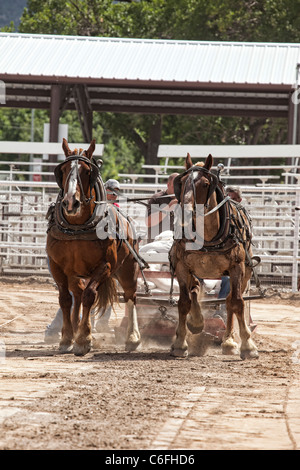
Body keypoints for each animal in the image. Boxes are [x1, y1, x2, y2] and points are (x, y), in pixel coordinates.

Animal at [46, 140, 141, 356]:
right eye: (63, 170)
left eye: (87, 171)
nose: (70, 202)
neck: (77, 227)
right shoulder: (57, 267)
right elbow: (65, 299)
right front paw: (67, 338)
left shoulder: (104, 266)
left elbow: (90, 295)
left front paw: (84, 339)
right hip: (75, 273)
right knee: (77, 294)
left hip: (127, 269)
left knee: (130, 296)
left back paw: (132, 338)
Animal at [170, 154, 258, 360]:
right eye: (182, 182)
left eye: (204, 184)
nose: (185, 212)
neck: (208, 237)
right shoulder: (182, 267)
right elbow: (184, 302)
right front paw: (180, 343)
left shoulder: (236, 268)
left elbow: (237, 303)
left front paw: (248, 346)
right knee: (194, 288)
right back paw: (196, 322)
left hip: (244, 274)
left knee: (229, 301)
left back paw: (229, 342)